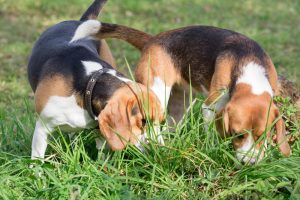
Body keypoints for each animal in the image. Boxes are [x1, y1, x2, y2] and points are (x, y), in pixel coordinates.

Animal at [27, 0, 164, 159]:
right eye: (143, 121)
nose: (160, 149)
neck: (89, 83)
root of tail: (81, 21)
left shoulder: (100, 129)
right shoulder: (42, 128)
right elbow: (37, 160)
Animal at [95, 23, 290, 164]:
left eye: (263, 136)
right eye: (237, 135)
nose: (249, 163)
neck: (248, 64)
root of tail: (153, 40)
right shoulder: (210, 107)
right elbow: (212, 133)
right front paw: (213, 150)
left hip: (180, 105)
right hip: (157, 92)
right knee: (154, 125)